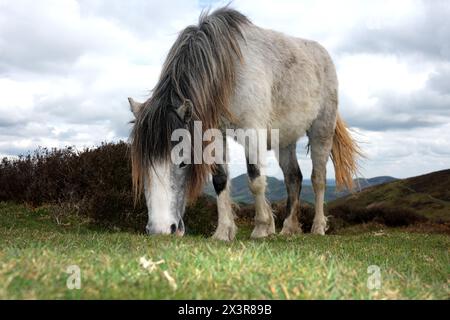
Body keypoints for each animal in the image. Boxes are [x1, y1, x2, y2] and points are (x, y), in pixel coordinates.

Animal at [128, 6, 360, 240]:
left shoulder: (252, 130)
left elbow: (255, 178)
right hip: (285, 140)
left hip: (322, 129)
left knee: (318, 178)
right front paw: (223, 232)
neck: (227, 69)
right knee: (293, 177)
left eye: (183, 162)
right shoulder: (216, 133)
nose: (160, 230)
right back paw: (288, 228)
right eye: (143, 163)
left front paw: (261, 228)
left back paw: (318, 227)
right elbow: (220, 179)